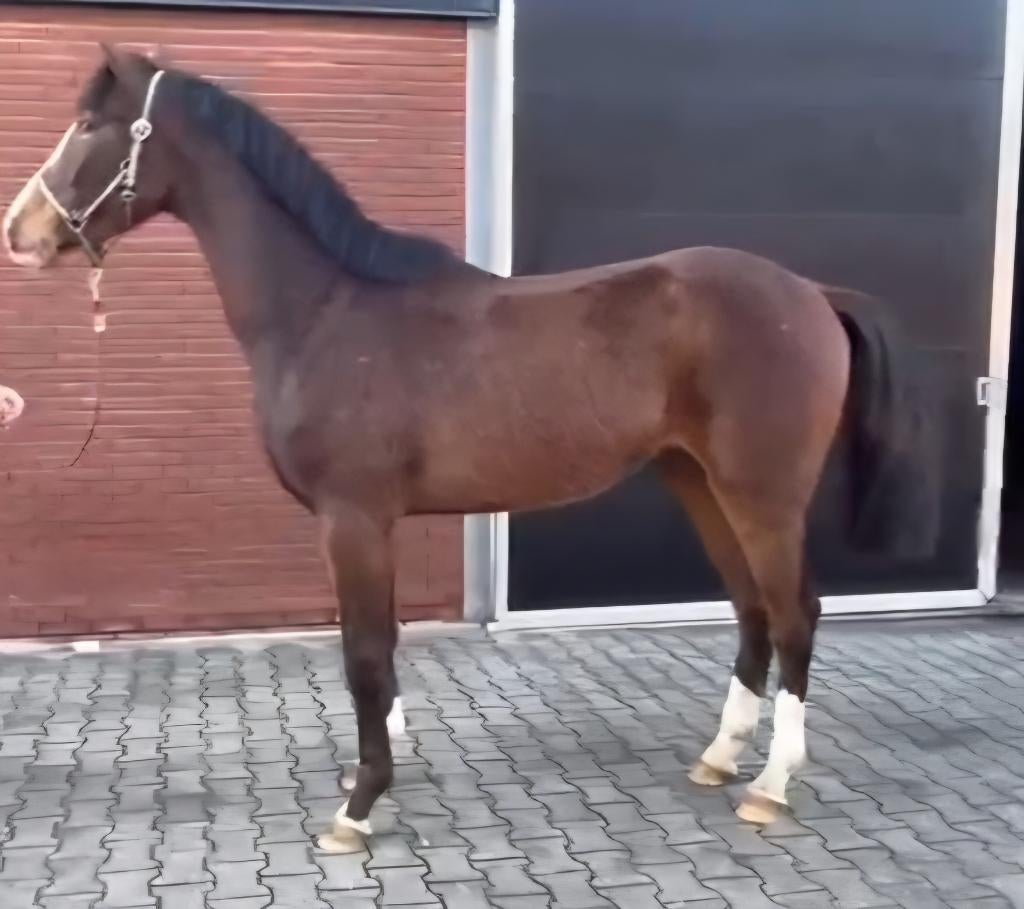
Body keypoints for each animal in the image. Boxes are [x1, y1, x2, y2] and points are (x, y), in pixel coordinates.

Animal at [3, 46, 939, 849]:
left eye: (89, 126)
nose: (22, 230)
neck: (326, 310)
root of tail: (810, 291)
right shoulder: (366, 524)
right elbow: (377, 648)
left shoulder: (353, 519)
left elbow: (365, 656)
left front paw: (357, 808)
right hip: (699, 482)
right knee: (751, 611)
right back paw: (718, 759)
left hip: (763, 494)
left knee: (795, 614)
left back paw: (771, 786)